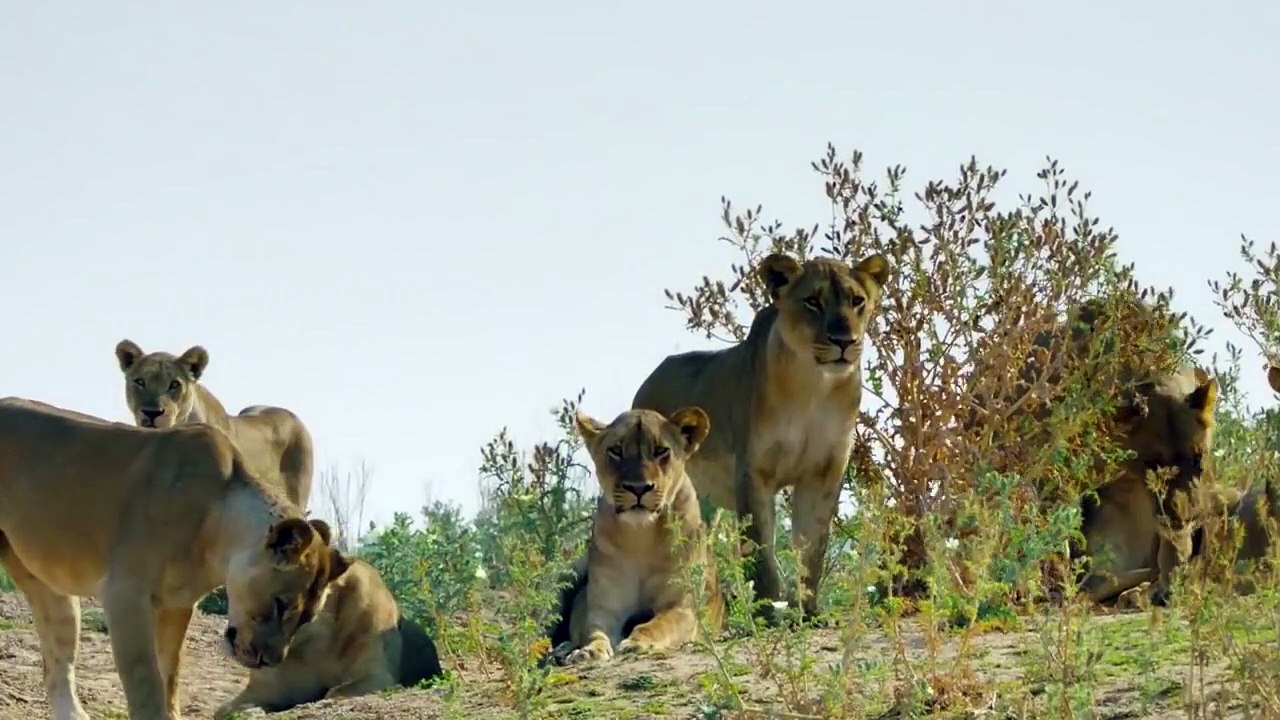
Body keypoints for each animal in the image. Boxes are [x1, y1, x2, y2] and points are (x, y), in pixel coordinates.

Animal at [0, 397, 325, 720]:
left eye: (307, 618)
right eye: (281, 603)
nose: (268, 661)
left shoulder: (177, 603)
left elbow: (170, 671)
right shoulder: (124, 593)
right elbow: (145, 680)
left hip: (51, 591)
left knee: (56, 667)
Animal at [213, 520, 443, 718]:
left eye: (304, 617)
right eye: (281, 605)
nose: (266, 661)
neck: (318, 643)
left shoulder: (377, 675)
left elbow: (333, 693)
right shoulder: (265, 690)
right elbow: (223, 710)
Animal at [546, 406, 725, 665]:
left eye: (661, 451)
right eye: (616, 451)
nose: (638, 488)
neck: (641, 536)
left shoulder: (682, 606)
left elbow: (657, 625)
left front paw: (637, 642)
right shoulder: (604, 608)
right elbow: (594, 632)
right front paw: (589, 651)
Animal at [630, 252, 890, 619]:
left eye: (857, 301)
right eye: (813, 301)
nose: (844, 341)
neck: (814, 387)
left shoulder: (823, 473)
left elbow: (812, 547)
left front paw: (806, 610)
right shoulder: (754, 472)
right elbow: (759, 550)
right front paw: (767, 611)